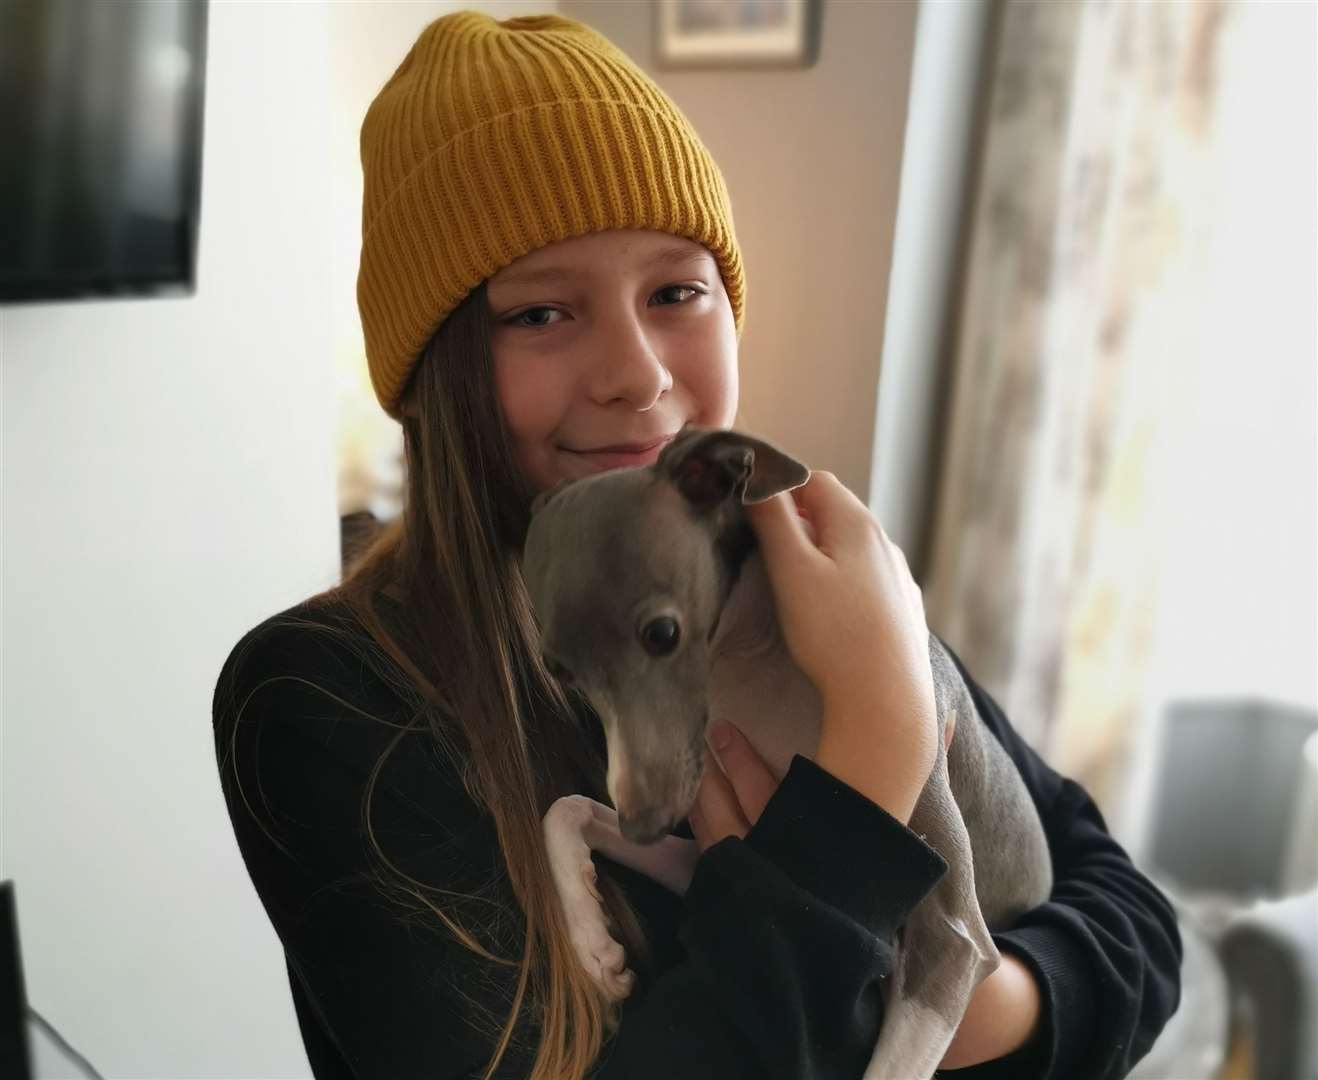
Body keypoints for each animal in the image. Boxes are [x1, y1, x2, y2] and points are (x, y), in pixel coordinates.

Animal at [519, 427, 1054, 1076]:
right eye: (560, 672)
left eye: (662, 633)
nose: (641, 824)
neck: (752, 662)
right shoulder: (715, 854)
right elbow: (564, 809)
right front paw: (594, 945)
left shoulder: (955, 942)